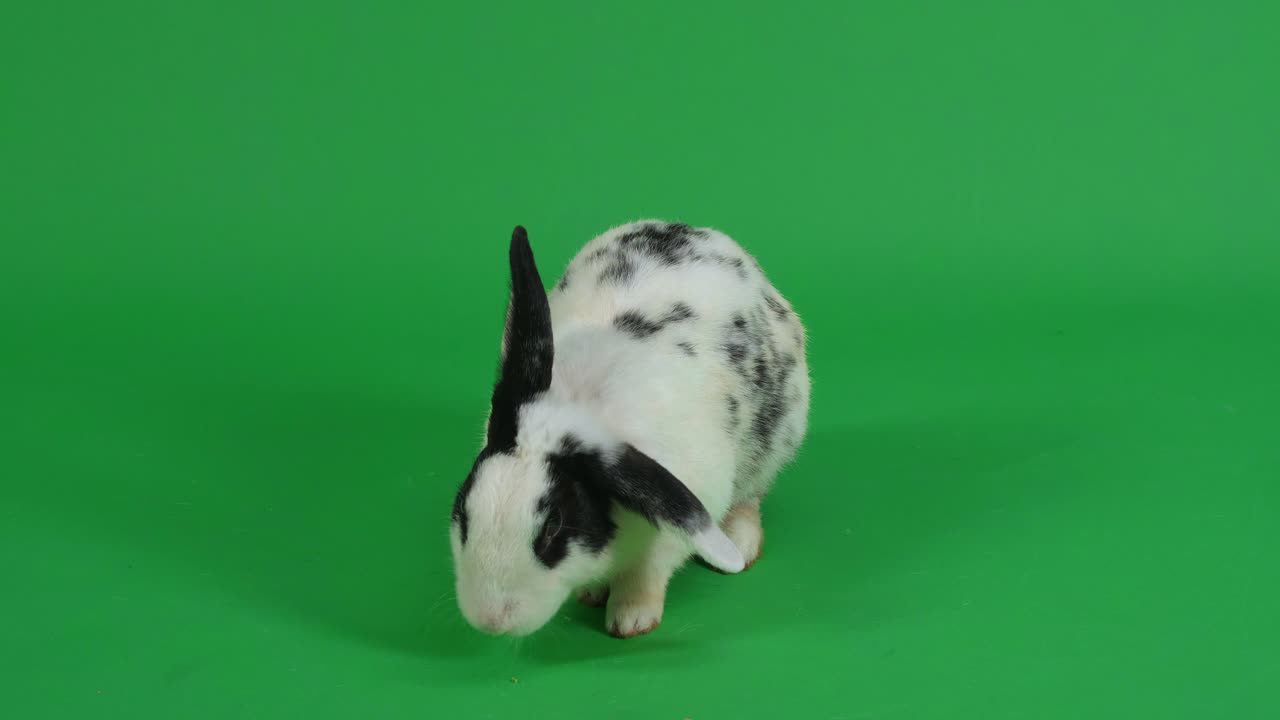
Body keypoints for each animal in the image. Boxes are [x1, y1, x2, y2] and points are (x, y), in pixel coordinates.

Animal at [450, 221, 809, 638]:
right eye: (463, 509)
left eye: (554, 525)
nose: (491, 620)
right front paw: (592, 593)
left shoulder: (675, 528)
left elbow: (645, 575)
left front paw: (630, 621)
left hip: (773, 445)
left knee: (750, 499)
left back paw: (742, 544)